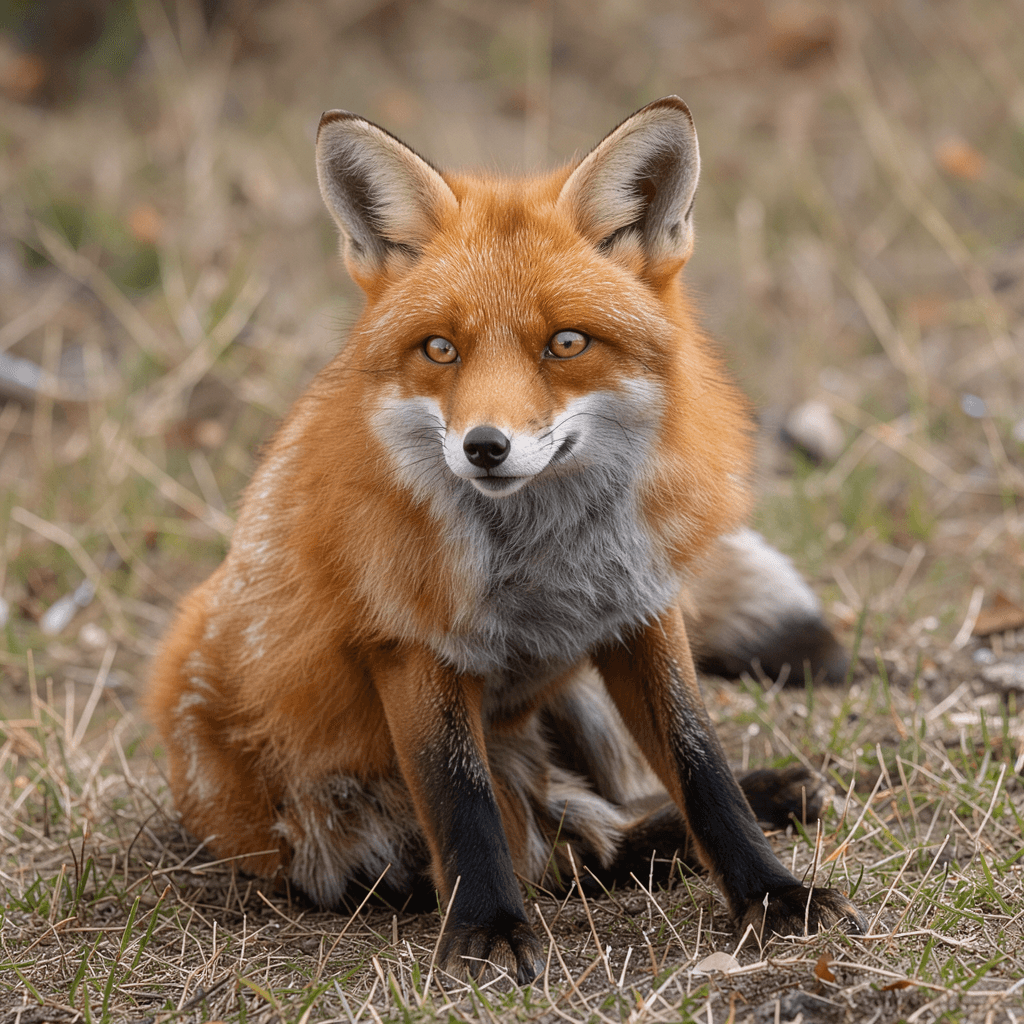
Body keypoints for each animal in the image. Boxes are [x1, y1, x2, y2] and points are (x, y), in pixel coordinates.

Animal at [148, 96, 865, 985]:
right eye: (440, 349)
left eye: (566, 343)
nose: (484, 446)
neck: (547, 560)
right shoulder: (411, 644)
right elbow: (465, 805)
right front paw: (488, 931)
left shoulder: (639, 611)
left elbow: (702, 769)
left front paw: (771, 890)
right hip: (340, 826)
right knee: (572, 843)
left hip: (577, 700)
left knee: (609, 817)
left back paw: (764, 798)